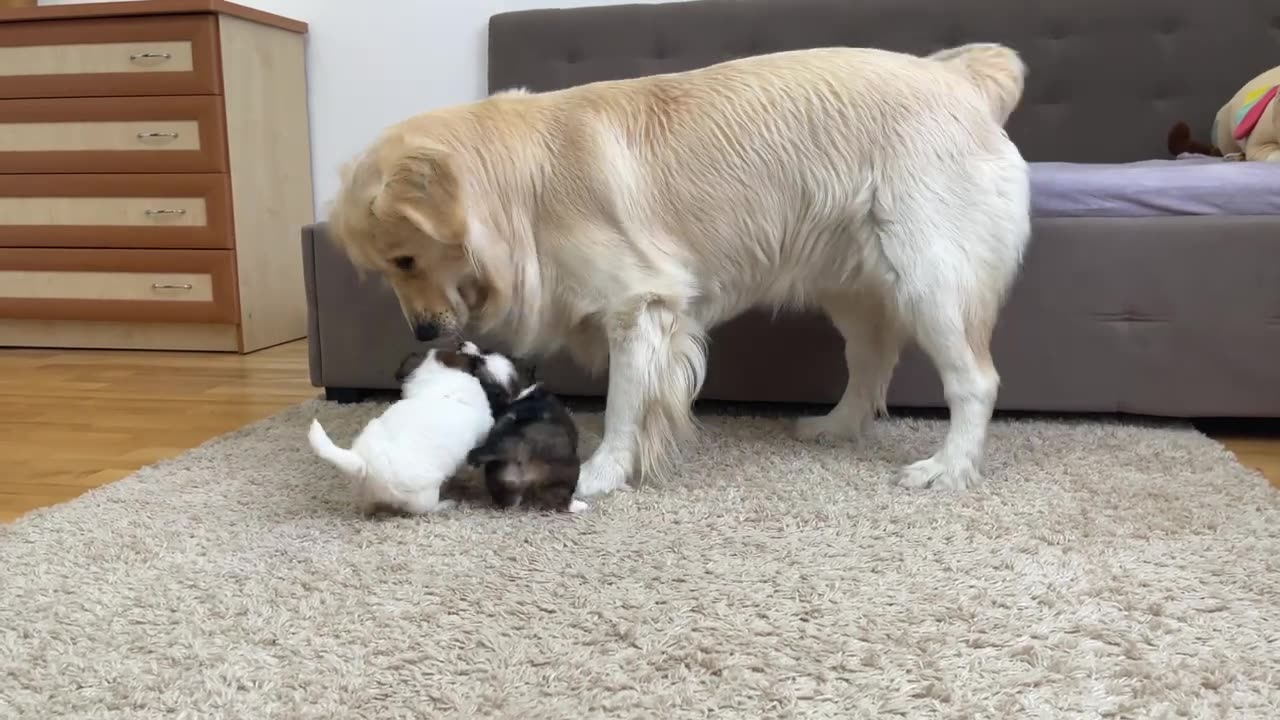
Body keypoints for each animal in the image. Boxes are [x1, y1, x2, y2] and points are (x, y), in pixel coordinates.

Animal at [304, 345, 494, 512]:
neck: (439, 379)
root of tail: (363, 464)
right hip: (424, 496)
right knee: (426, 509)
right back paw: (445, 504)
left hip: (364, 492)